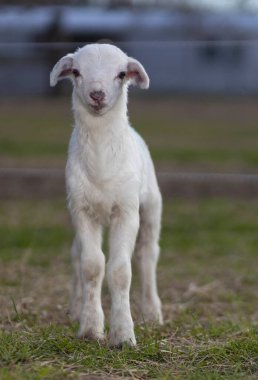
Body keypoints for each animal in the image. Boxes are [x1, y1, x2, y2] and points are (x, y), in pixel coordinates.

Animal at [50, 42, 162, 348]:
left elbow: (120, 271)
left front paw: (123, 335)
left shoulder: (126, 210)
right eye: (76, 71)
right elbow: (91, 266)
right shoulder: (81, 209)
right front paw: (90, 328)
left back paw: (152, 312)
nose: (97, 94)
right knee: (76, 254)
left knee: (147, 254)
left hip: (151, 206)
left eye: (121, 73)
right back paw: (76, 307)